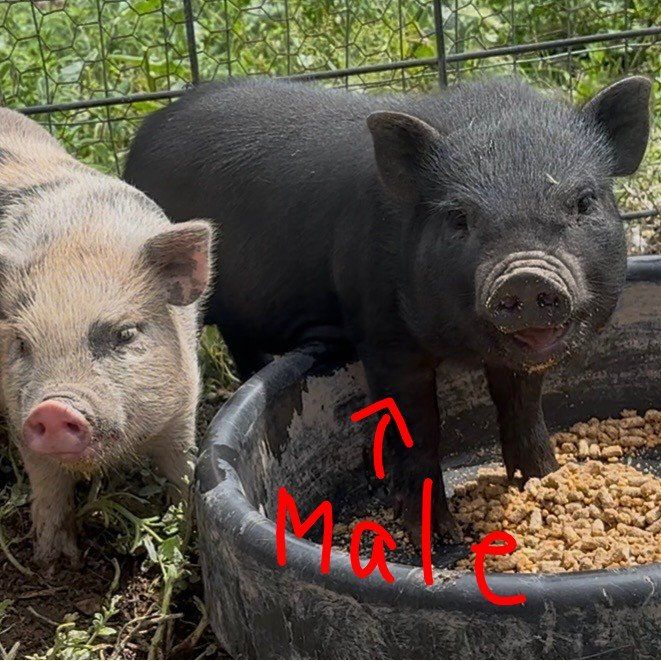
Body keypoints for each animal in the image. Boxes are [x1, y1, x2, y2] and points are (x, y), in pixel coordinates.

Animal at [0, 109, 212, 565]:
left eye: (125, 333)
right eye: (23, 344)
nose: (52, 409)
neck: (79, 236)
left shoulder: (185, 404)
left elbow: (183, 468)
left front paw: (182, 536)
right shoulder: (16, 412)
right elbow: (48, 486)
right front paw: (55, 561)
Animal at [124, 76, 651, 540]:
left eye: (583, 202)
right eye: (458, 217)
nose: (524, 276)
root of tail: (142, 137)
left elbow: (522, 406)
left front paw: (544, 479)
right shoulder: (380, 329)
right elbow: (417, 427)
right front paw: (438, 537)